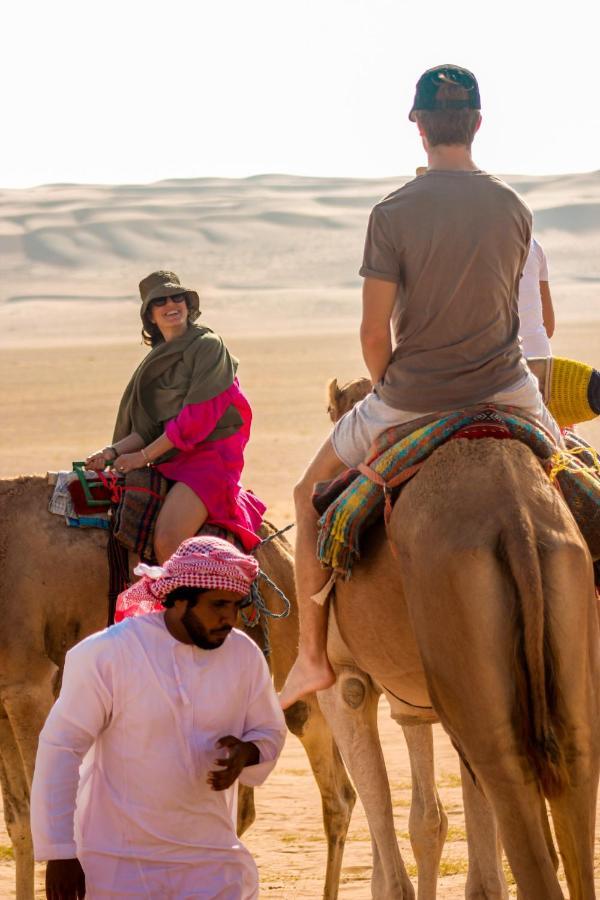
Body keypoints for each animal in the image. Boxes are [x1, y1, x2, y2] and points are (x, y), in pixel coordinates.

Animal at [318, 428, 600, 892]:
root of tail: (516, 518)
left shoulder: (346, 683)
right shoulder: (417, 701)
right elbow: (437, 827)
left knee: (503, 775)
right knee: (573, 767)